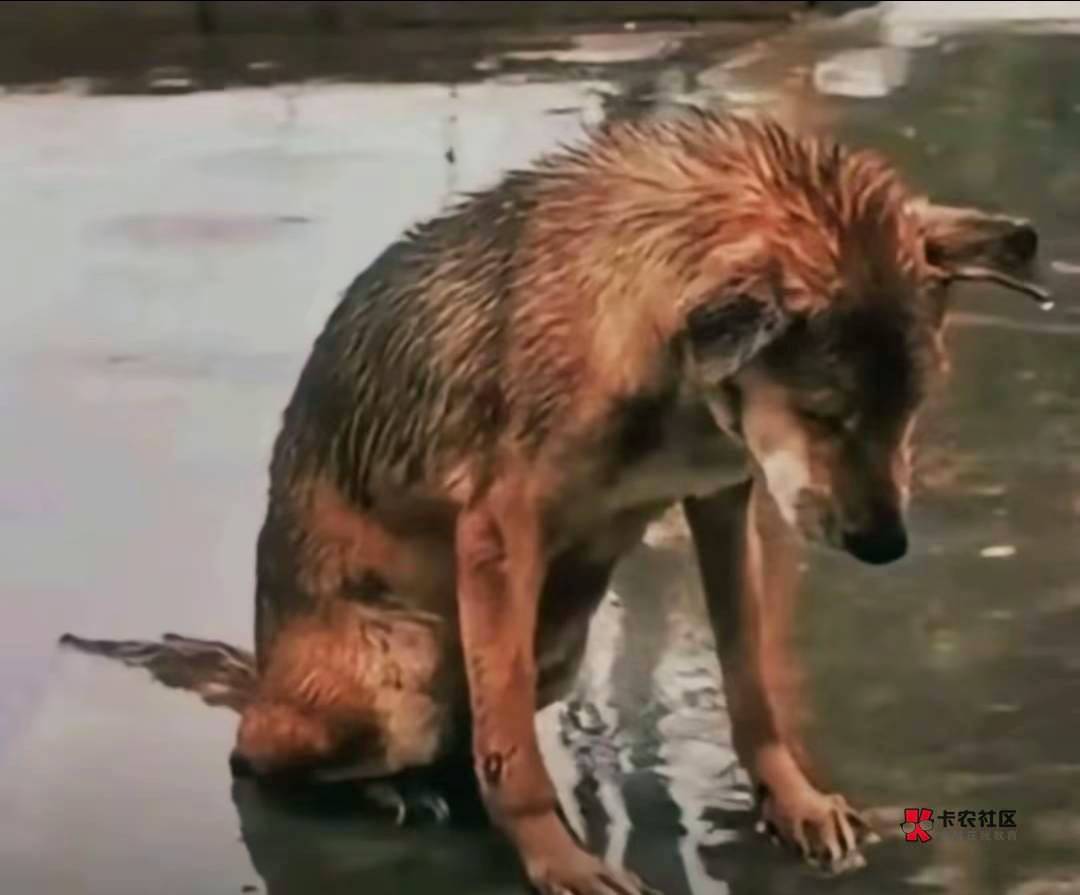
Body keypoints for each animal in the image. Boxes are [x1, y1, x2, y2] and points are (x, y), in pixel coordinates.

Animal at [61, 113, 1045, 893]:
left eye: (912, 407)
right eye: (824, 413)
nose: (886, 547)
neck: (673, 365)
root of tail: (264, 671)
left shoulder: (723, 501)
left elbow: (751, 680)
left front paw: (791, 797)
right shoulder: (500, 534)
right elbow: (518, 759)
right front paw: (557, 857)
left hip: (558, 643)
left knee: (466, 737)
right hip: (401, 669)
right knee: (271, 751)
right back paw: (389, 785)